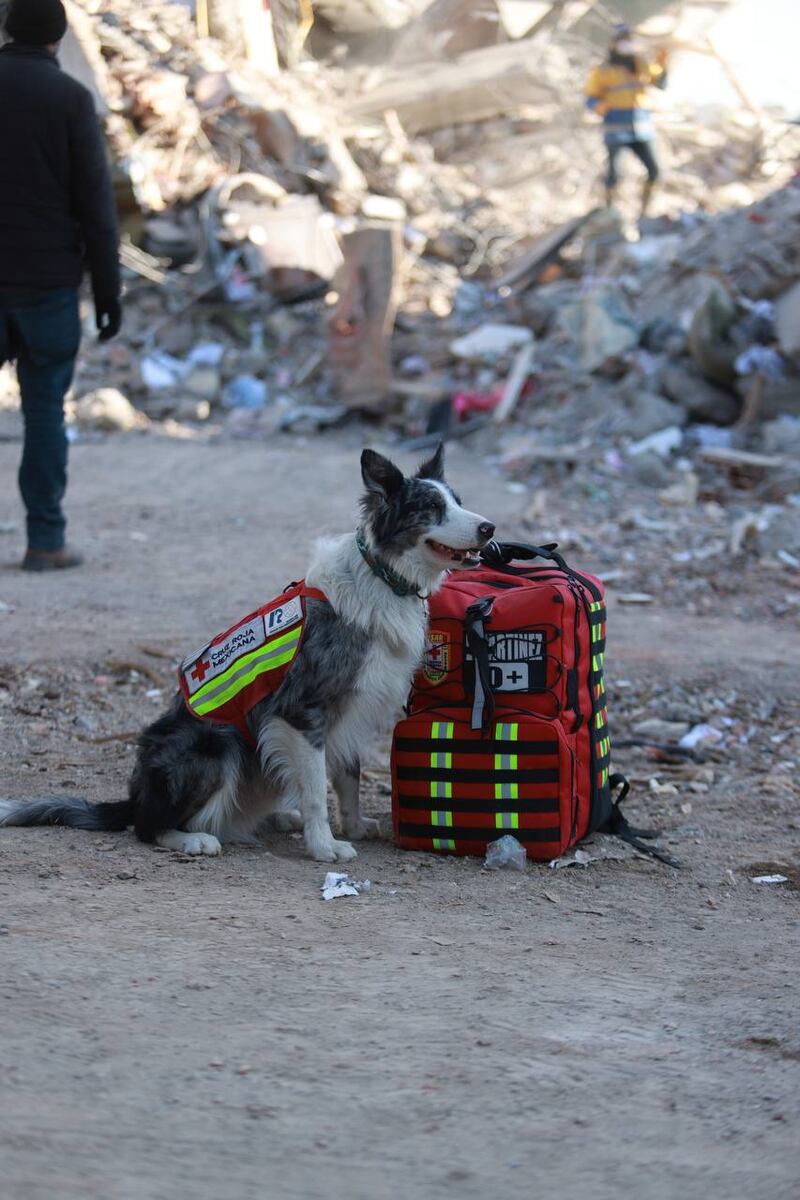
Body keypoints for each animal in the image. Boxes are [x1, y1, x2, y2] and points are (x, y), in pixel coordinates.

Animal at [1, 446, 494, 859]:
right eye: (431, 508)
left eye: (457, 501)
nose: (489, 528)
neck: (383, 575)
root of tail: (135, 795)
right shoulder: (304, 710)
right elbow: (316, 789)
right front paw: (324, 846)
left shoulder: (352, 706)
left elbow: (346, 775)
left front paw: (352, 826)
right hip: (215, 746)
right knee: (147, 827)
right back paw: (192, 838)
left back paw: (275, 818)